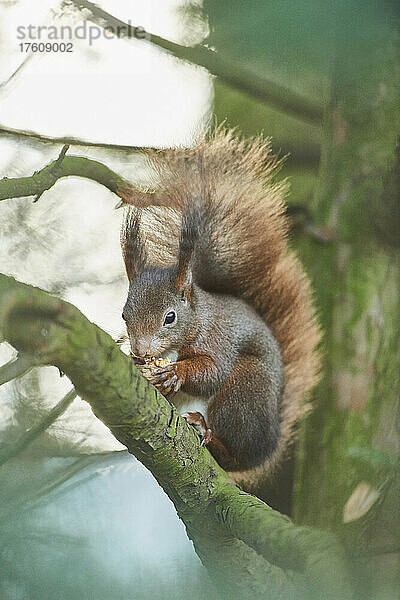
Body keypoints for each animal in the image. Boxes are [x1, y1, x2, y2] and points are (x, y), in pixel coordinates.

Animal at [119, 127, 322, 488]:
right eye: (124, 314)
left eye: (170, 317)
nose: (141, 350)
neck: (198, 319)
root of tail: (268, 445)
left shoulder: (219, 339)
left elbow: (212, 371)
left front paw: (175, 373)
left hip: (244, 392)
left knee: (232, 454)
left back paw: (209, 434)